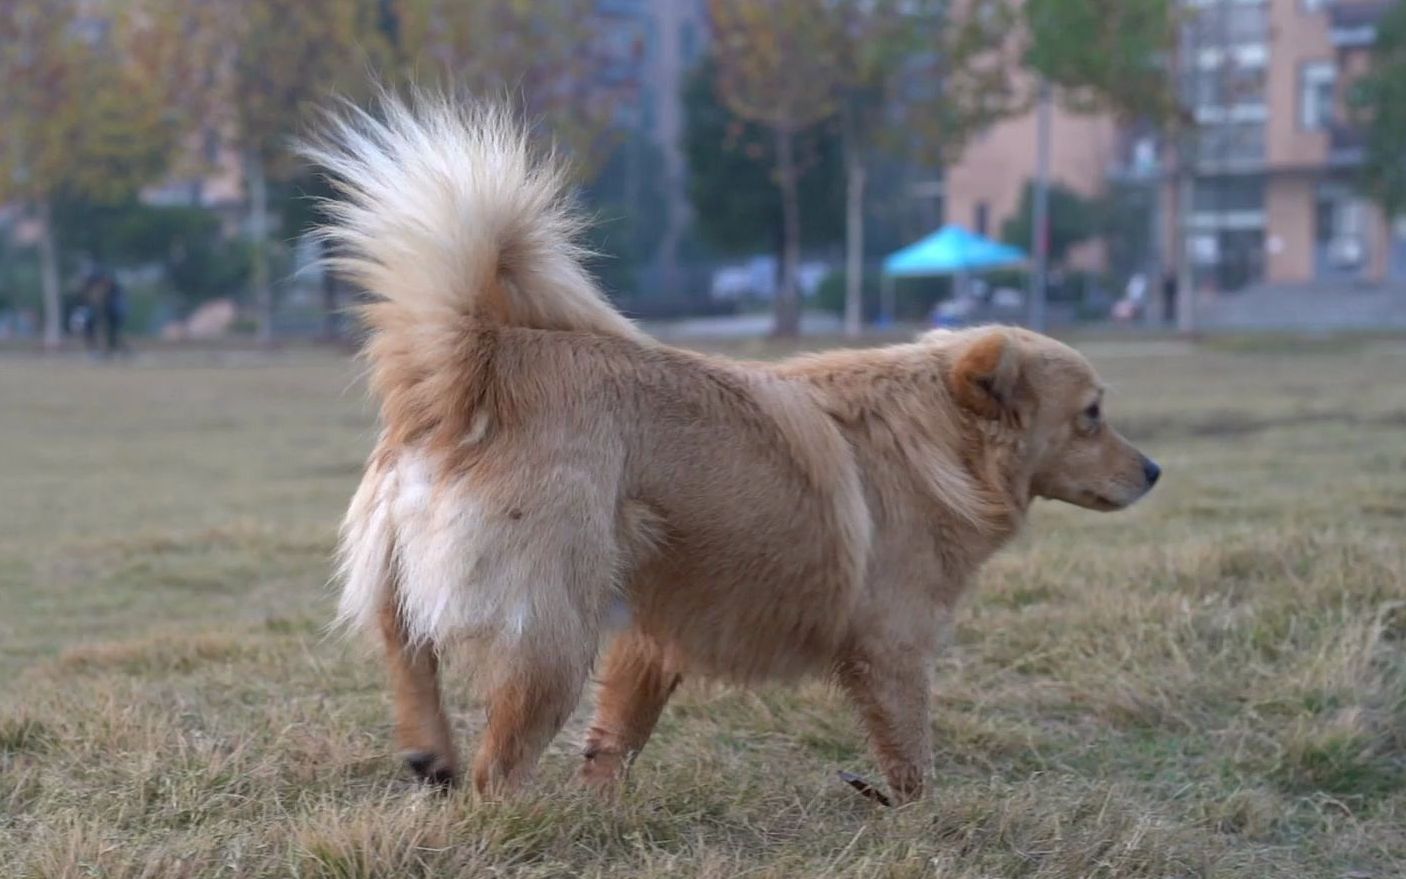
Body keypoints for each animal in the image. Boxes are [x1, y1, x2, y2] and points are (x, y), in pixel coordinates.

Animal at [310, 95, 1164, 804]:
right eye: (1092, 415)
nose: (1155, 470)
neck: (938, 436)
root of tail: (481, 362)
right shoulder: (894, 648)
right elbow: (913, 759)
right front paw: (920, 817)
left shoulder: (652, 640)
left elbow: (615, 738)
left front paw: (604, 806)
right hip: (551, 633)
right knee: (499, 764)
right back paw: (512, 815)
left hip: (415, 583)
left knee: (406, 652)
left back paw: (432, 749)